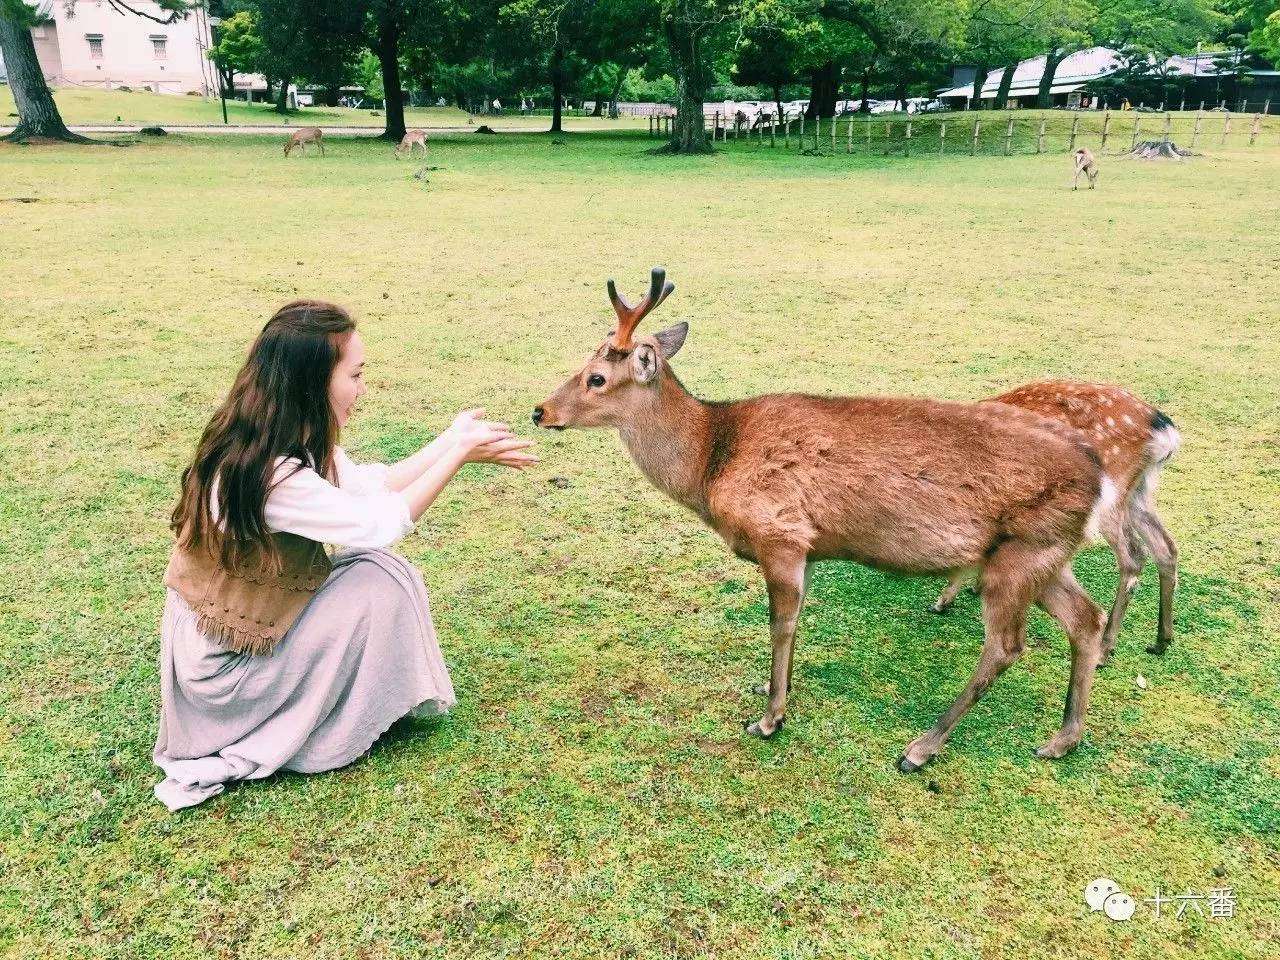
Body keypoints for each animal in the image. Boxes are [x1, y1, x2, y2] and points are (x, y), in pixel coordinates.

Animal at [535, 268, 1116, 773]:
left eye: (596, 378)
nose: (540, 411)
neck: (711, 463)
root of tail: (1099, 478)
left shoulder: (781, 533)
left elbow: (781, 624)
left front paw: (769, 718)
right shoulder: (811, 544)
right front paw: (775, 692)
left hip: (1018, 557)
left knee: (1006, 646)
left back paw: (922, 747)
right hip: (1046, 554)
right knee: (1087, 618)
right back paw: (1063, 738)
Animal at [931, 381, 1177, 660]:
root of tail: (1164, 430)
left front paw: (943, 601)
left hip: (1112, 492)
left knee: (1134, 556)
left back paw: (1105, 648)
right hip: (1139, 490)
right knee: (1165, 547)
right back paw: (1161, 640)